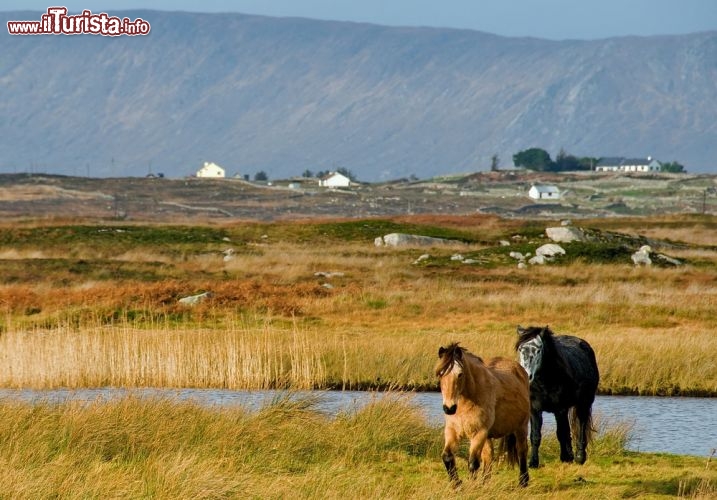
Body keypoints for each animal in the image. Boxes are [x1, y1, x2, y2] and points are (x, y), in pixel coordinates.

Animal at [434, 342, 528, 486]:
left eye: (460, 374)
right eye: (440, 374)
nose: (449, 408)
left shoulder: (479, 432)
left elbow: (473, 463)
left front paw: (470, 485)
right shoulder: (452, 430)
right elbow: (448, 457)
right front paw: (457, 484)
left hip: (521, 427)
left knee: (522, 451)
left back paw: (523, 482)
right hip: (489, 436)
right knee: (489, 456)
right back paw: (485, 483)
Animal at [516, 326, 600, 466]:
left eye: (538, 350)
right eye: (521, 349)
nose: (526, 375)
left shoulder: (560, 409)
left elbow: (561, 433)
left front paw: (565, 458)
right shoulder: (534, 410)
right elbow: (535, 436)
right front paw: (533, 462)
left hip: (584, 403)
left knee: (581, 426)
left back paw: (579, 457)